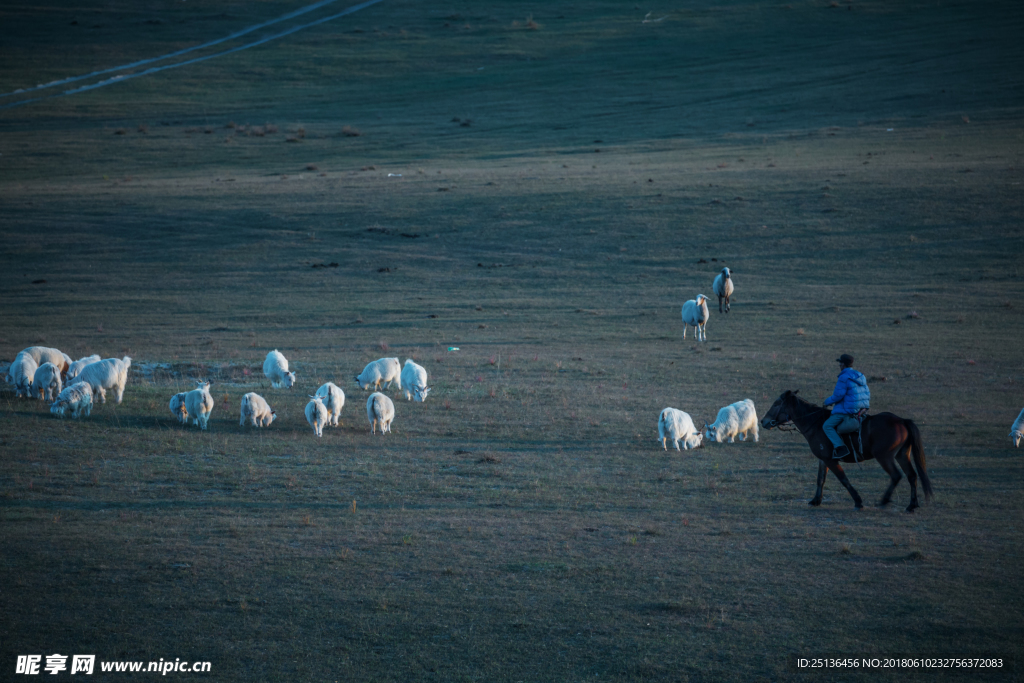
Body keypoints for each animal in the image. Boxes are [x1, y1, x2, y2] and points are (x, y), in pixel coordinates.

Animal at [757, 389, 933, 511]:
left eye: (776, 404)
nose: (763, 421)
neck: (815, 423)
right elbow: (820, 479)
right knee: (912, 476)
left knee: (896, 475)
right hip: (902, 455)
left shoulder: (831, 460)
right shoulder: (823, 460)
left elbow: (843, 479)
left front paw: (858, 502)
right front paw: (815, 501)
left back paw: (884, 500)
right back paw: (911, 505)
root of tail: (902, 421)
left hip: (885, 457)